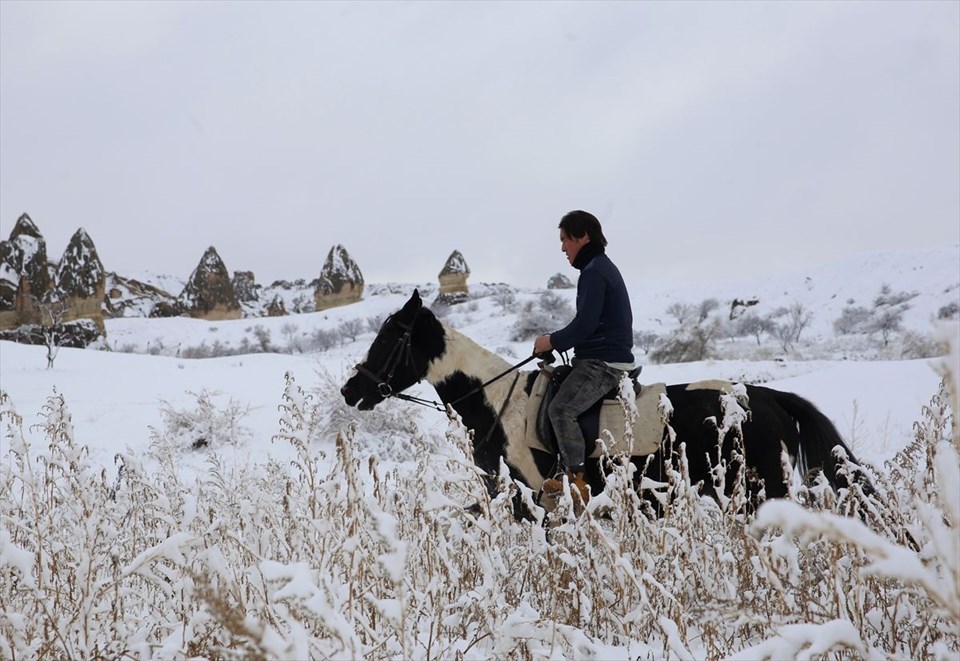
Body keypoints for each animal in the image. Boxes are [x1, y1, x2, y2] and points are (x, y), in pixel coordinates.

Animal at [342, 290, 868, 510]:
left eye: (390, 337)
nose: (351, 390)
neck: (496, 403)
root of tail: (770, 397)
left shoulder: (533, 496)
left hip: (760, 491)